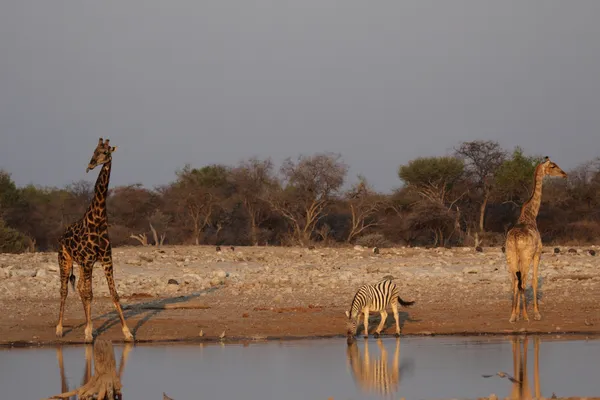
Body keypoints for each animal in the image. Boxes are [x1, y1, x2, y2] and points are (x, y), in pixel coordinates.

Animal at [54, 139, 134, 342]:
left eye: (105, 152)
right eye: (94, 150)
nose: (90, 166)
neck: (98, 220)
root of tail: (61, 235)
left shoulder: (105, 259)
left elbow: (114, 294)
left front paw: (127, 332)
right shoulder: (90, 260)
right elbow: (89, 294)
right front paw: (89, 333)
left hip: (81, 264)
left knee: (80, 288)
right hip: (65, 260)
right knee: (64, 290)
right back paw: (59, 329)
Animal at [504, 156, 564, 322]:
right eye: (553, 166)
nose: (564, 174)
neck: (531, 215)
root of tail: (515, 240)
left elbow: (519, 282)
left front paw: (516, 314)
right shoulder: (538, 253)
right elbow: (535, 281)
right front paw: (537, 313)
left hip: (511, 256)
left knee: (515, 281)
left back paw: (513, 316)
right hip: (525, 256)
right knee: (523, 281)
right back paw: (526, 316)